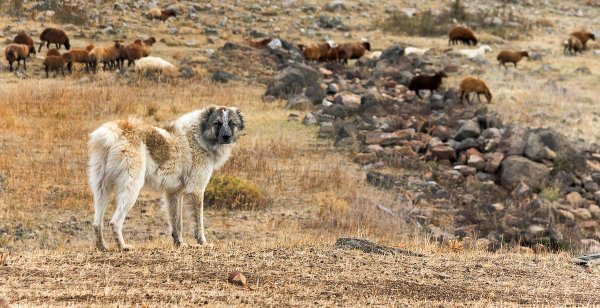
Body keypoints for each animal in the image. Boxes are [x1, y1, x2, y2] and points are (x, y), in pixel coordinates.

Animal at [86, 105, 244, 250]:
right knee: (115, 222)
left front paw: (179, 244)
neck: (200, 134)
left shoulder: (173, 193)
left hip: (101, 190)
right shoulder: (196, 190)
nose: (226, 137)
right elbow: (199, 222)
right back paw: (123, 246)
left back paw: (102, 247)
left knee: (96, 223)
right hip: (132, 188)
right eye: (217, 123)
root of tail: (116, 132)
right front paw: (203, 243)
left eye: (232, 123)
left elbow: (177, 223)